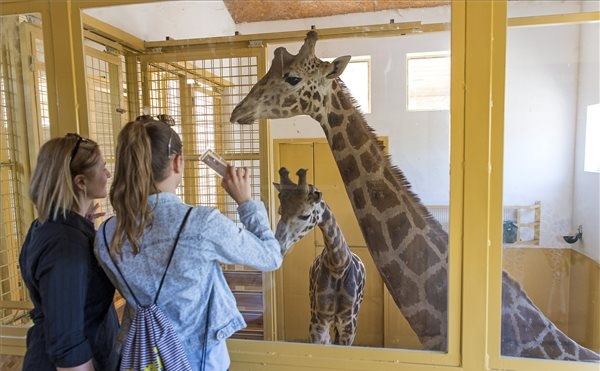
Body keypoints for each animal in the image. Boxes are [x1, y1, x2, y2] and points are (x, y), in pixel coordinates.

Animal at [276, 169, 368, 346]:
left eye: (305, 215)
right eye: (280, 211)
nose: (279, 245)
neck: (337, 265)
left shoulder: (349, 324)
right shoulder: (318, 320)